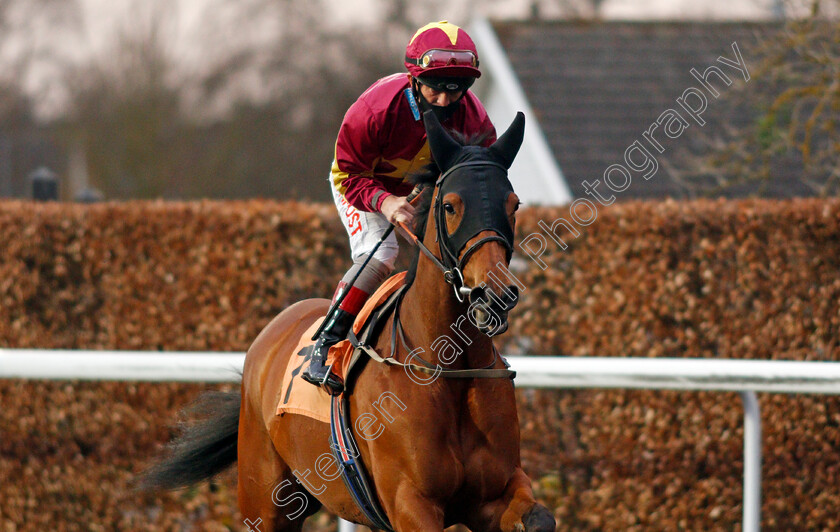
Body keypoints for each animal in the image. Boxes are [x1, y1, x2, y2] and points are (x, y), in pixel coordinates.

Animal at [140, 109, 556, 532]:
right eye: (451, 206)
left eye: (514, 204)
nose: (496, 294)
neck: (449, 366)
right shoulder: (411, 503)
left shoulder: (494, 494)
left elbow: (539, 518)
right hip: (266, 498)